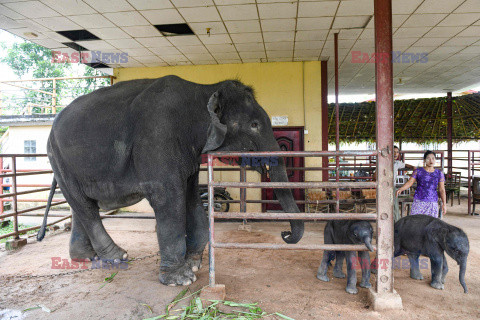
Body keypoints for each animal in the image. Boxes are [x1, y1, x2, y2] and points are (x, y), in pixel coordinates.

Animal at [37, 75, 304, 284]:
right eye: (255, 125)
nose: (284, 234)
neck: (203, 89)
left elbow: (191, 196)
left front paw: (195, 263)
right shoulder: (157, 137)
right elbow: (167, 197)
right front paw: (181, 279)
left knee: (81, 205)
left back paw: (85, 257)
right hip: (57, 157)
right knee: (84, 207)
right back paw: (117, 257)